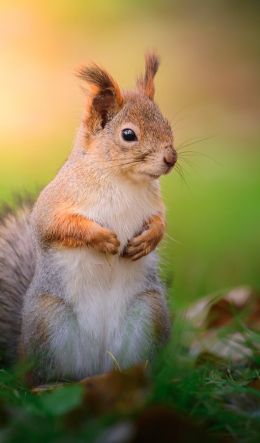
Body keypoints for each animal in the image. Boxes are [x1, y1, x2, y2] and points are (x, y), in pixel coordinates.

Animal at [0, 53, 177, 386]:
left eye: (168, 124)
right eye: (128, 134)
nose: (171, 159)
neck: (123, 179)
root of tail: (94, 367)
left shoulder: (156, 206)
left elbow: (161, 224)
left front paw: (147, 241)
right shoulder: (54, 203)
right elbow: (55, 225)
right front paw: (102, 238)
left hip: (149, 314)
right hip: (48, 321)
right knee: (44, 375)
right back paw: (50, 385)